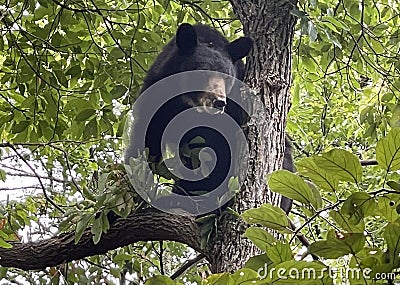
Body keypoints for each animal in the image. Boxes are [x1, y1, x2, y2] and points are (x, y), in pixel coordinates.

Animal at [125, 23, 294, 213]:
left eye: (228, 78)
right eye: (203, 73)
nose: (219, 102)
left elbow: (219, 153)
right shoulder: (158, 96)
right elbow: (147, 141)